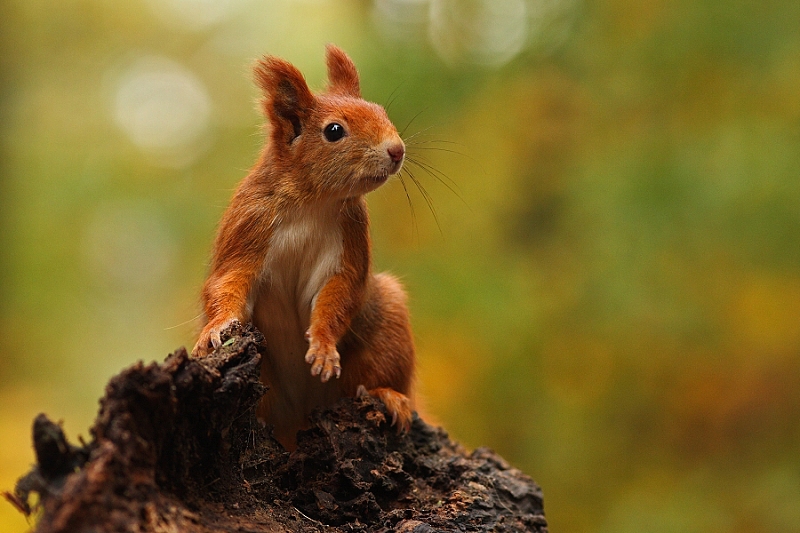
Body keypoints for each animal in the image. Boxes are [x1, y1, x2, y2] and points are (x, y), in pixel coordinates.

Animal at [191, 45, 416, 450]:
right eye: (334, 131)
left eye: (380, 111)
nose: (396, 150)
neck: (312, 203)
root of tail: (300, 419)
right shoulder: (250, 225)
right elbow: (228, 280)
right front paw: (216, 329)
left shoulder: (349, 238)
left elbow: (340, 293)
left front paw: (324, 347)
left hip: (385, 323)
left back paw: (389, 396)